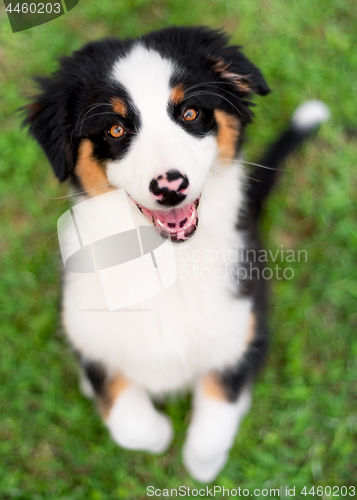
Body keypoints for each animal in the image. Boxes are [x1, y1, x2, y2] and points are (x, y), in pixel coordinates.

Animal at [23, 26, 326, 480]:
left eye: (190, 113)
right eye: (115, 129)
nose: (170, 187)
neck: (167, 260)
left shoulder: (238, 331)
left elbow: (213, 425)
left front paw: (202, 467)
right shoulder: (86, 330)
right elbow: (130, 422)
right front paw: (160, 434)